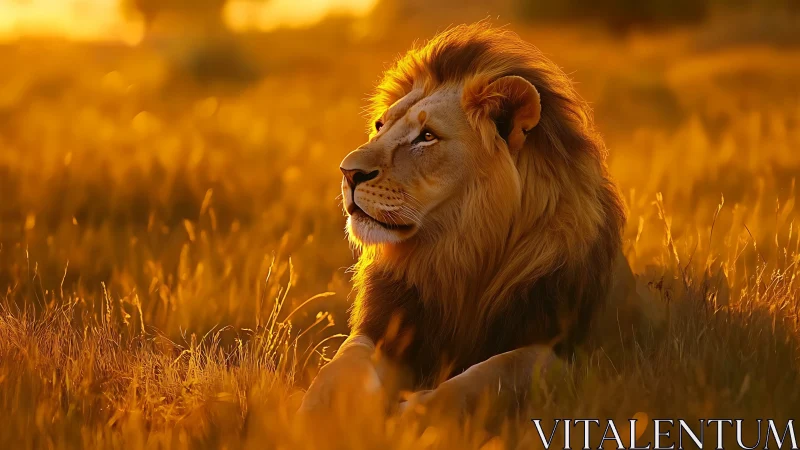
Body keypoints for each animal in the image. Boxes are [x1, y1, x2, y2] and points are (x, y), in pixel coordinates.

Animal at [299, 22, 627, 417]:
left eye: (426, 137)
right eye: (380, 125)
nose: (347, 172)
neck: (457, 251)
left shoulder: (565, 348)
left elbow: (493, 372)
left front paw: (410, 415)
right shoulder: (388, 326)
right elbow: (344, 365)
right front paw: (321, 413)